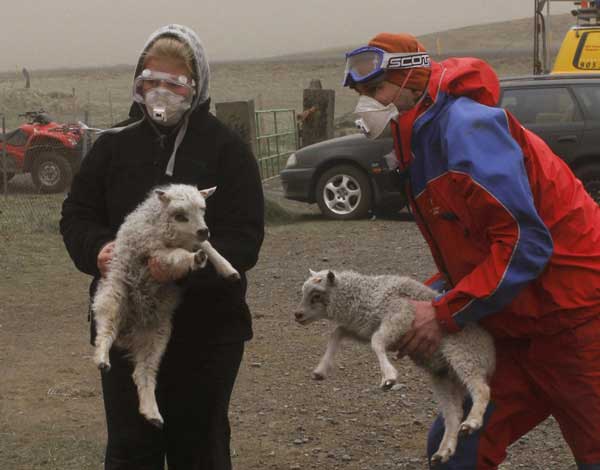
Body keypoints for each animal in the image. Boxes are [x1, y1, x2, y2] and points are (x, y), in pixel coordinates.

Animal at [92, 184, 238, 430]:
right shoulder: (155, 254)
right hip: (113, 295)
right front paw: (195, 259)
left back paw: (152, 413)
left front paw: (228, 269)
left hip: (157, 333)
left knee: (143, 372)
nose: (204, 230)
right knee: (105, 330)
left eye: (203, 209)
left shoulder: (191, 242)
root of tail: (131, 327)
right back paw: (102, 359)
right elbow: (177, 257)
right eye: (180, 215)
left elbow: (208, 246)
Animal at [292, 270, 494, 464]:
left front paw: (388, 377)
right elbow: (338, 332)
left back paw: (472, 422)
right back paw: (444, 451)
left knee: (482, 389)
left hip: (464, 355)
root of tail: (491, 352)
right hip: (443, 376)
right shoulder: (364, 328)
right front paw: (321, 369)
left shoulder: (399, 315)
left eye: (316, 295)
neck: (366, 294)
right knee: (454, 415)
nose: (297, 315)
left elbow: (376, 342)